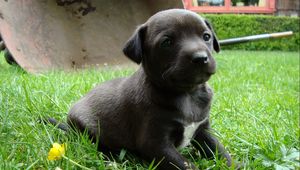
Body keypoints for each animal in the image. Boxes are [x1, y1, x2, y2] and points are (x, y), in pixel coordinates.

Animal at [67, 8, 232, 169]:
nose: (200, 58)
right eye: (167, 42)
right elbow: (185, 165)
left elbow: (221, 151)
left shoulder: (203, 130)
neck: (187, 93)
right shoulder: (155, 143)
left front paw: (234, 165)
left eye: (206, 36)